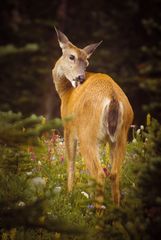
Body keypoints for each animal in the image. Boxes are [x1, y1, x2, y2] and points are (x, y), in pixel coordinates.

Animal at [52, 28, 134, 207]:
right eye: (72, 57)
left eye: (87, 63)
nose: (80, 78)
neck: (66, 93)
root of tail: (112, 98)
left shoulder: (68, 128)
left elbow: (70, 162)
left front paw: (69, 195)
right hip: (121, 135)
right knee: (115, 172)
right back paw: (115, 208)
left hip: (88, 134)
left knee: (99, 173)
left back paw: (97, 212)